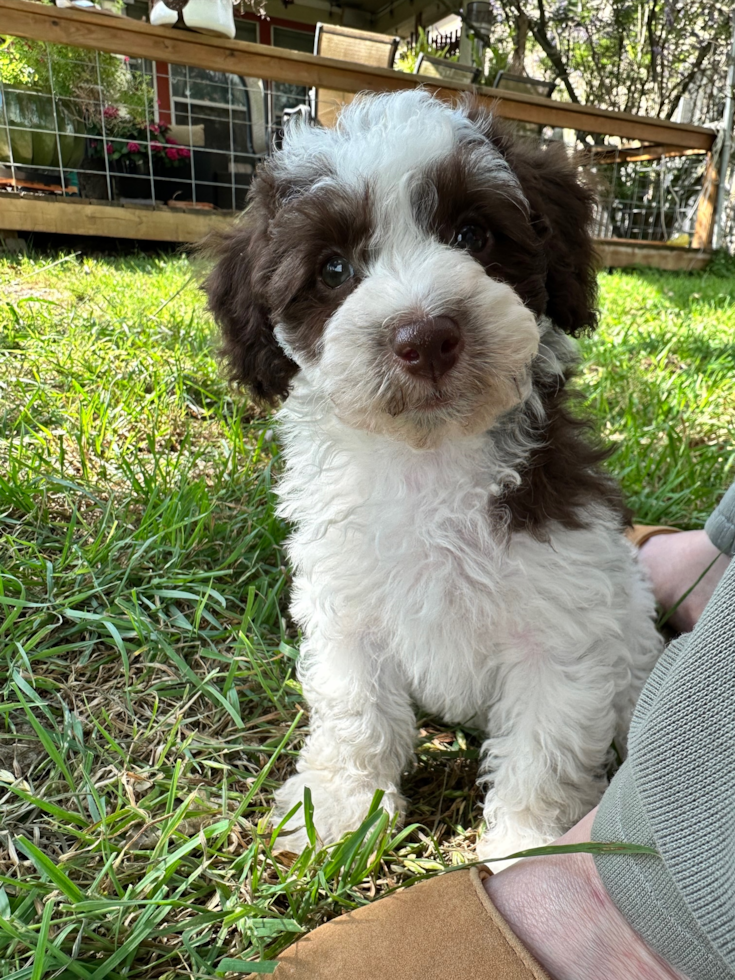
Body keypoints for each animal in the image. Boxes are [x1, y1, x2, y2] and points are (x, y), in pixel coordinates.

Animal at [204, 90, 664, 856]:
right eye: (333, 270)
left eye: (473, 233)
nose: (424, 337)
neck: (430, 458)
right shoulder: (345, 610)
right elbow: (354, 709)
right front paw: (341, 807)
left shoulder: (562, 629)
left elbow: (546, 746)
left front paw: (530, 843)